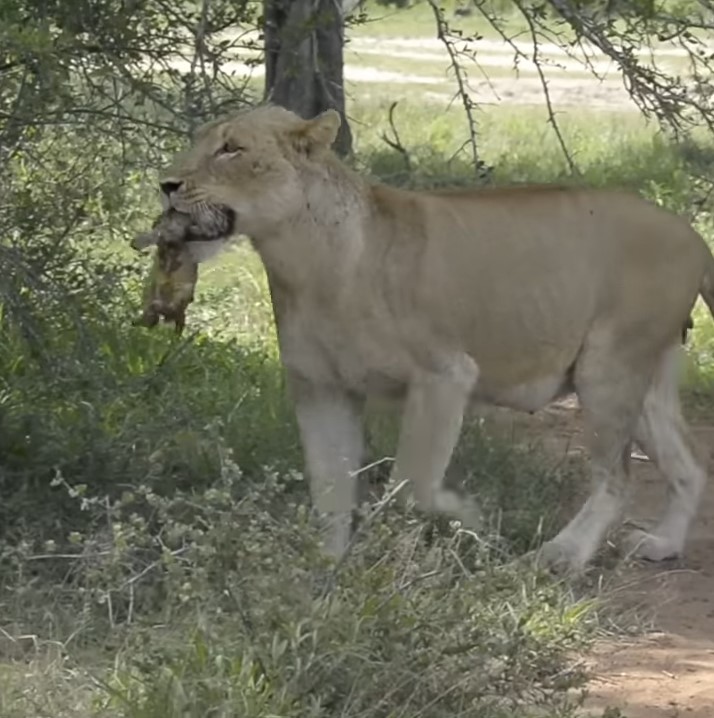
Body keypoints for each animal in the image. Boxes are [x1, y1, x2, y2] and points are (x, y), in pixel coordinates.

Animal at [150, 103, 714, 573]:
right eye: (201, 141)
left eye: (231, 148)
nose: (166, 184)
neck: (300, 263)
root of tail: (693, 235)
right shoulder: (321, 389)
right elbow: (328, 484)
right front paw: (328, 568)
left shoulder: (444, 375)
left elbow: (411, 484)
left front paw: (468, 515)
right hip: (644, 377)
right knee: (688, 464)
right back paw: (662, 544)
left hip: (608, 368)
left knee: (616, 479)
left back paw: (562, 556)